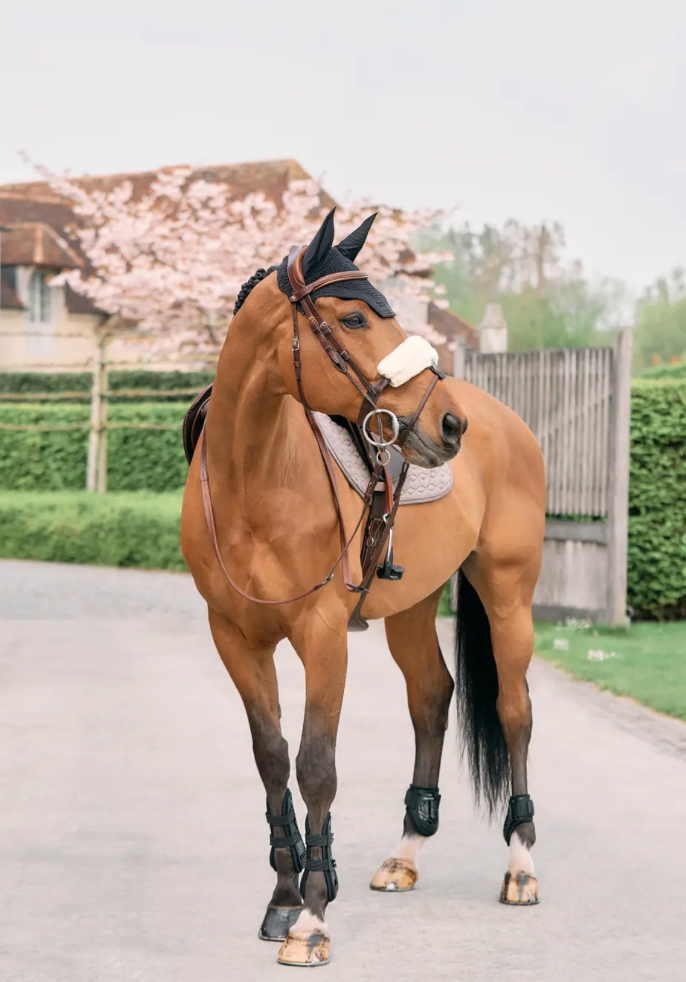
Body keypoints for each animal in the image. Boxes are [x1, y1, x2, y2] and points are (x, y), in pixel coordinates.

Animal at [181, 208, 548, 968]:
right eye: (352, 317)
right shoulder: (235, 638)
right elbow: (272, 759)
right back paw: (405, 854)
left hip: (508, 595)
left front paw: (313, 918)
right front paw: (283, 898)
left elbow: (317, 765)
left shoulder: (322, 637)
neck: (252, 480)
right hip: (412, 609)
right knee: (432, 698)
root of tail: (503, 420)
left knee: (515, 710)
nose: (449, 424)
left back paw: (522, 865)